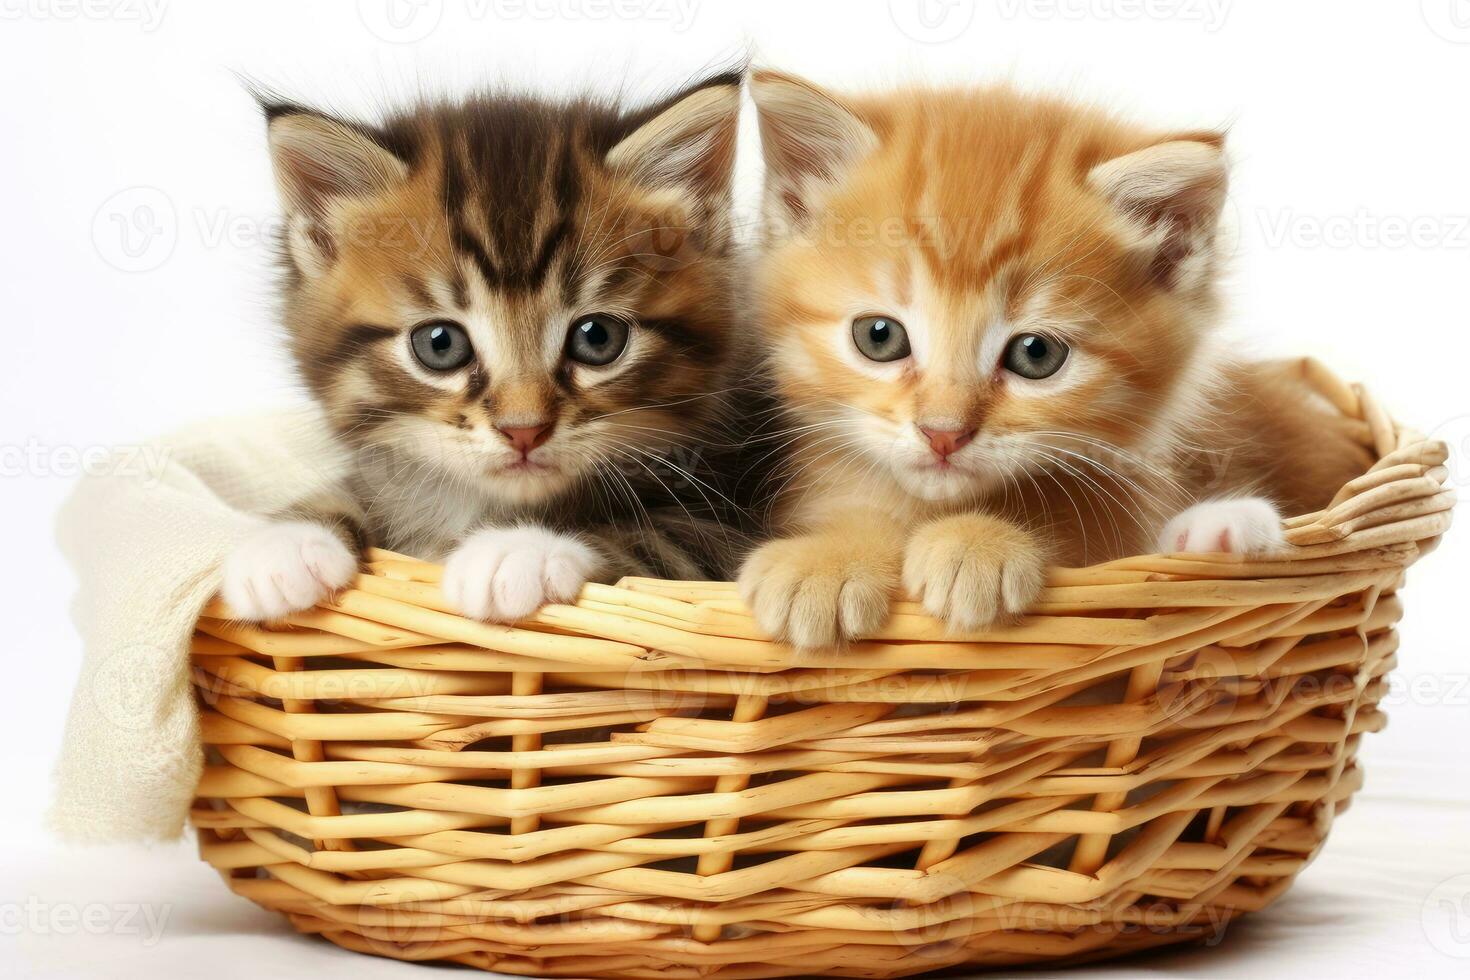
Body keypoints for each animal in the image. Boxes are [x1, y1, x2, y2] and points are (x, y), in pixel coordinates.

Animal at [219, 76, 752, 625]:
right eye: (440, 344)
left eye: (598, 337)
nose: (524, 431)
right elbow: (357, 490)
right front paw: (287, 543)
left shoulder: (725, 520)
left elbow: (652, 540)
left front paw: (517, 551)